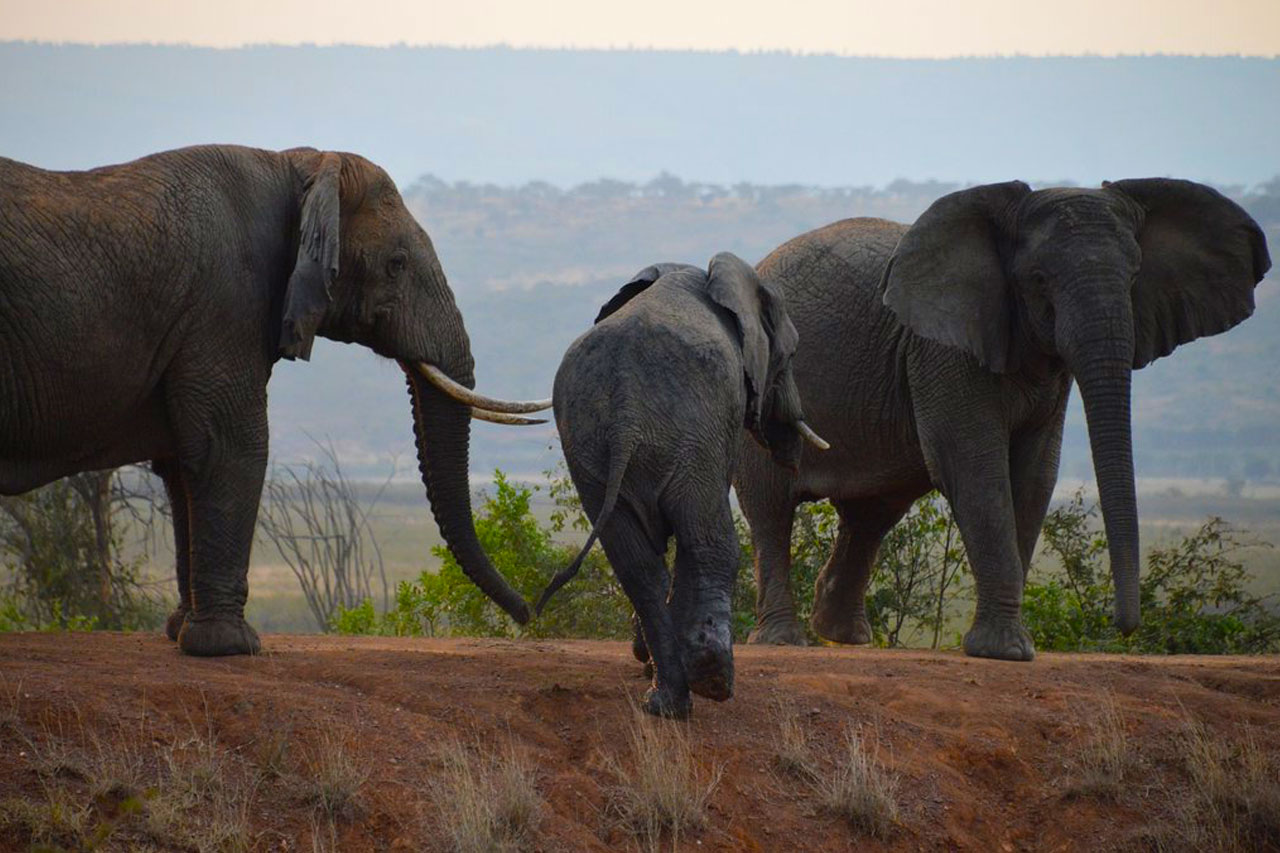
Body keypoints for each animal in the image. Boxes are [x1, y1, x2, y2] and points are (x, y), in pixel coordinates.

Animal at [0, 144, 550, 656]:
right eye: (396, 265)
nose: (530, 612)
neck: (297, 166)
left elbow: (182, 464)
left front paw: (183, 632)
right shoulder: (225, 302)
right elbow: (231, 446)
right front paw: (230, 646)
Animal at [538, 254, 828, 718]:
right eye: (791, 352)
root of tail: (625, 410)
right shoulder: (721, 422)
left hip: (591, 454)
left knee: (636, 564)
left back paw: (665, 702)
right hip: (691, 438)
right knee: (708, 541)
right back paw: (712, 678)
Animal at [734, 179, 1270, 660]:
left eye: (1136, 276)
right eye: (1038, 279)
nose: (1125, 628)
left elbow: (1034, 475)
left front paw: (1008, 647)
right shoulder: (943, 349)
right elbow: (974, 467)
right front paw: (1005, 651)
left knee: (874, 510)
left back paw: (842, 635)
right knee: (772, 507)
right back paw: (784, 639)